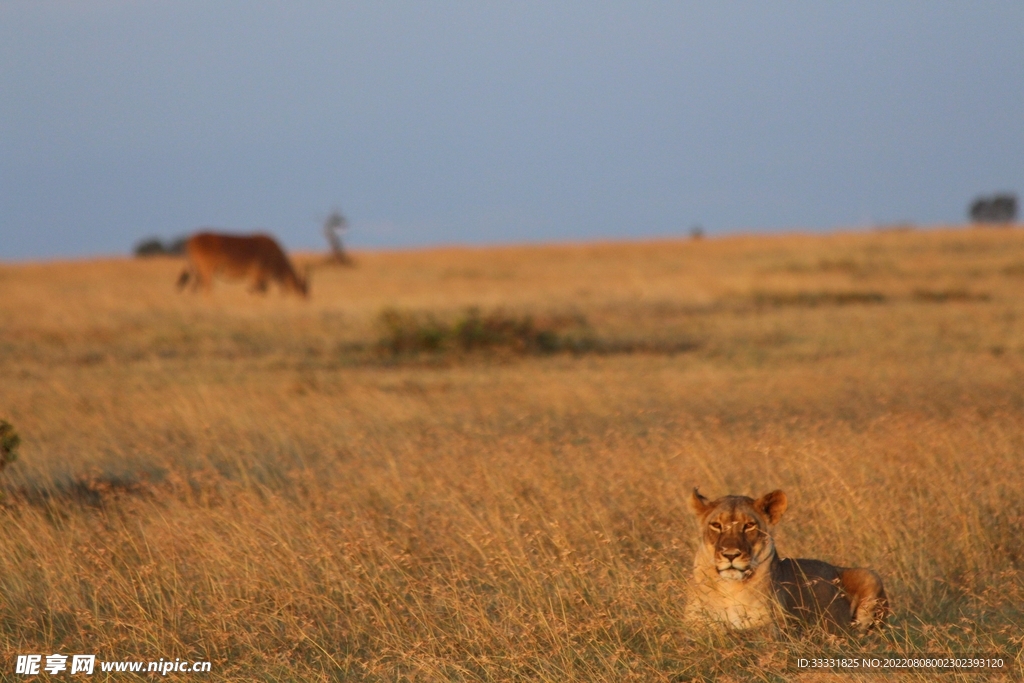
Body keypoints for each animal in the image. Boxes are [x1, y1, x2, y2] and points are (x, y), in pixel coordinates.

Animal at [176, 232, 307, 296]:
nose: (306, 300)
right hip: (206, 272)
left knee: (193, 290)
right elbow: (257, 291)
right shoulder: (258, 277)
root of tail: (191, 241)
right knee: (206, 288)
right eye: (302, 290)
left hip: (197, 273)